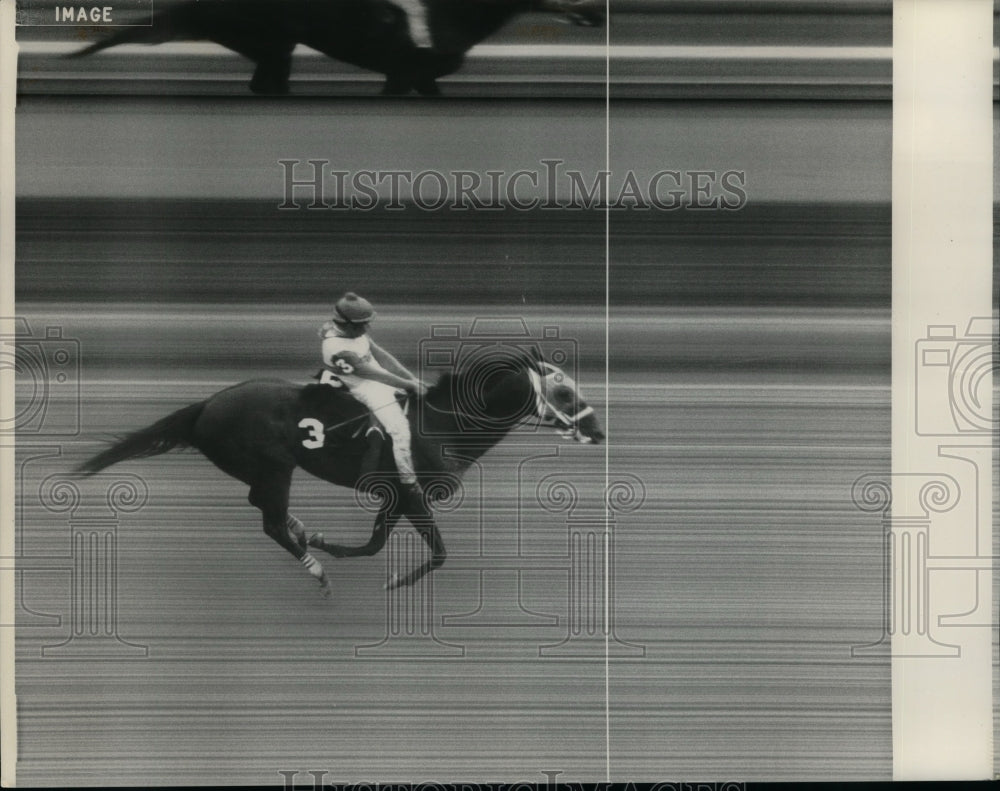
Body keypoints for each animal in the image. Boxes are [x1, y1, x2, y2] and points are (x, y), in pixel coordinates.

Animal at [76, 346, 600, 592]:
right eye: (565, 391)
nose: (597, 431)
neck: (444, 424)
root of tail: (206, 404)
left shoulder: (395, 497)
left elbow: (373, 545)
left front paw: (326, 540)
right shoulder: (410, 493)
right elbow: (437, 554)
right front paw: (392, 580)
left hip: (261, 468)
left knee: (261, 506)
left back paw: (302, 533)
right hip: (273, 465)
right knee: (268, 520)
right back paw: (315, 569)